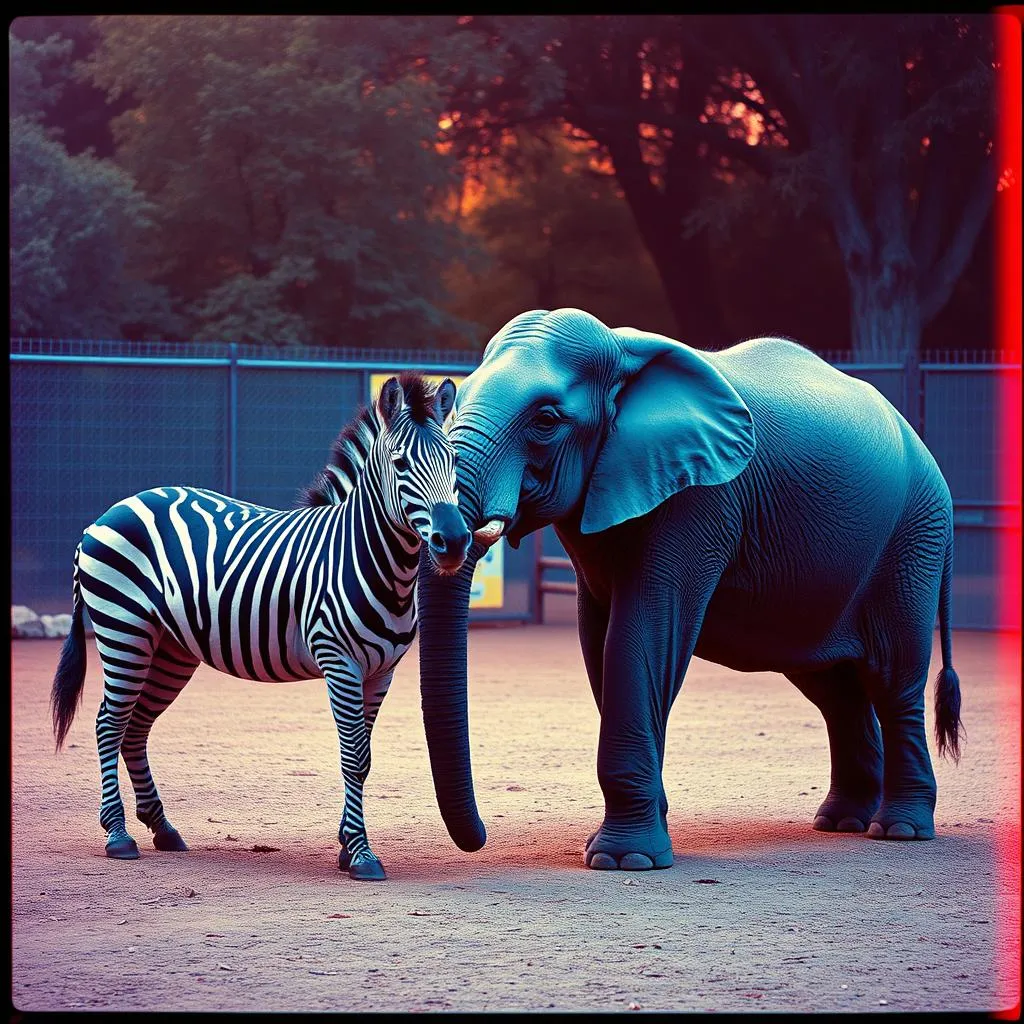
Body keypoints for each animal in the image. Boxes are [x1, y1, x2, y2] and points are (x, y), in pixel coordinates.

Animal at [50, 373, 472, 881]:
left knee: (135, 727)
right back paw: (117, 835)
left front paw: (347, 846)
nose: (455, 542)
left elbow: (365, 757)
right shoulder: (339, 662)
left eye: (454, 460)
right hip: (122, 631)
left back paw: (163, 829)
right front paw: (361, 855)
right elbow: (354, 756)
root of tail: (111, 511)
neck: (372, 560)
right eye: (401, 463)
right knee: (108, 724)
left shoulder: (380, 672)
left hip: (170, 650)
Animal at [417, 307, 963, 871]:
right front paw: (637, 839)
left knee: (893, 678)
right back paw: (842, 823)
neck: (622, 352)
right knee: (833, 687)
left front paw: (623, 861)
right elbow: (600, 648)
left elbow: (641, 637)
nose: (479, 838)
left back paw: (898, 829)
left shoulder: (700, 499)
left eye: (545, 421)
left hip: (912, 541)